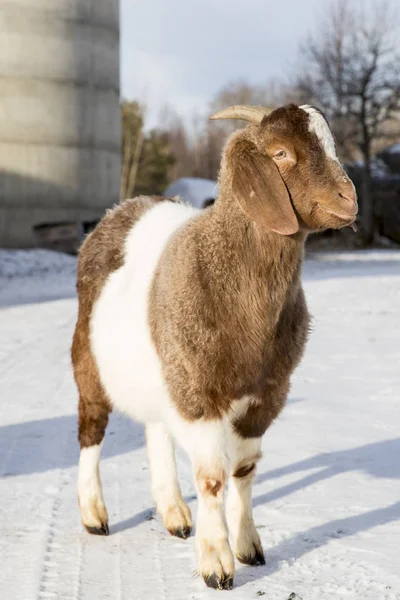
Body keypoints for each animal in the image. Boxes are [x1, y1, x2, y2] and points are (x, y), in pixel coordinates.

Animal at [71, 103, 356, 592]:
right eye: (280, 153)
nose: (349, 199)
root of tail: (125, 207)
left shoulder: (266, 395)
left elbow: (243, 471)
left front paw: (247, 546)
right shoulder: (199, 393)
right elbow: (211, 477)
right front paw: (216, 563)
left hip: (164, 371)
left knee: (157, 430)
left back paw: (173, 514)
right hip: (90, 362)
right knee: (91, 429)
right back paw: (94, 514)